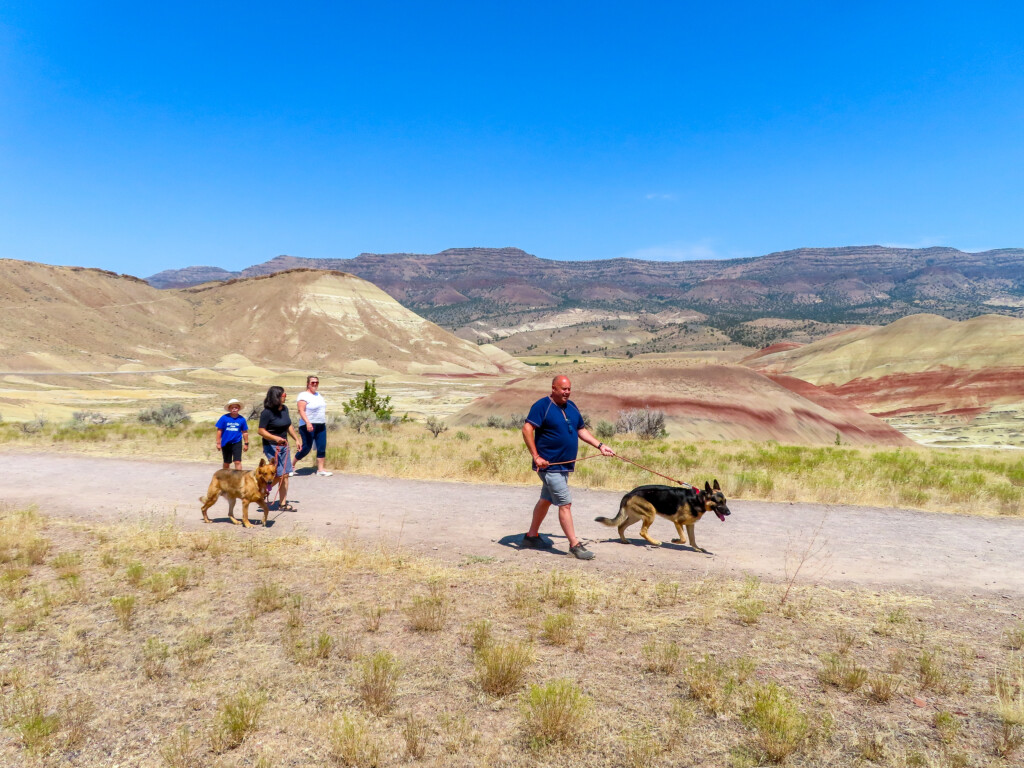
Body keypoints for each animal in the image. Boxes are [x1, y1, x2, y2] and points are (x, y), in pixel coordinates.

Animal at [598, 481, 733, 552]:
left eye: (725, 501)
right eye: (719, 502)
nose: (729, 513)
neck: (698, 499)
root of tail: (629, 493)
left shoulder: (690, 525)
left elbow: (692, 539)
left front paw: (697, 548)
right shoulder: (678, 522)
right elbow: (684, 539)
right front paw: (675, 540)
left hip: (635, 517)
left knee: (620, 526)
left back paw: (624, 540)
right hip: (650, 513)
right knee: (642, 532)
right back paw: (655, 542)